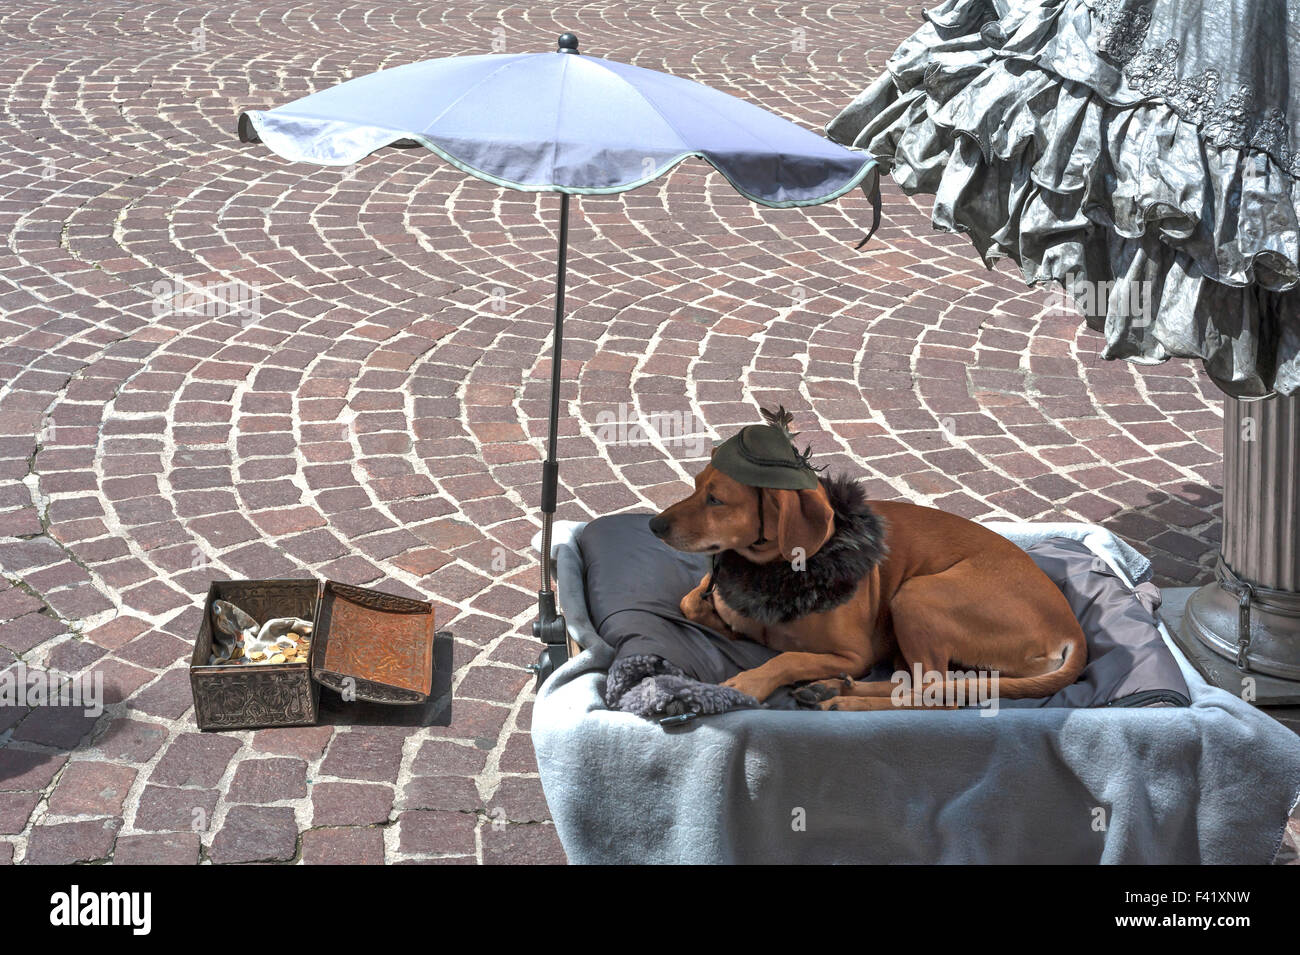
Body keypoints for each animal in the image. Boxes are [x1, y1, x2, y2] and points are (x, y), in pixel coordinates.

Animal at [650, 462, 1086, 712]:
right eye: (695, 485)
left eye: (716, 500)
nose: (654, 525)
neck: (773, 572)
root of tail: (1071, 630)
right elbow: (691, 601)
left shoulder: (853, 653)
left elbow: (788, 656)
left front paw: (749, 681)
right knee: (921, 684)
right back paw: (829, 689)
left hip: (915, 596)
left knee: (935, 696)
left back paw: (841, 700)